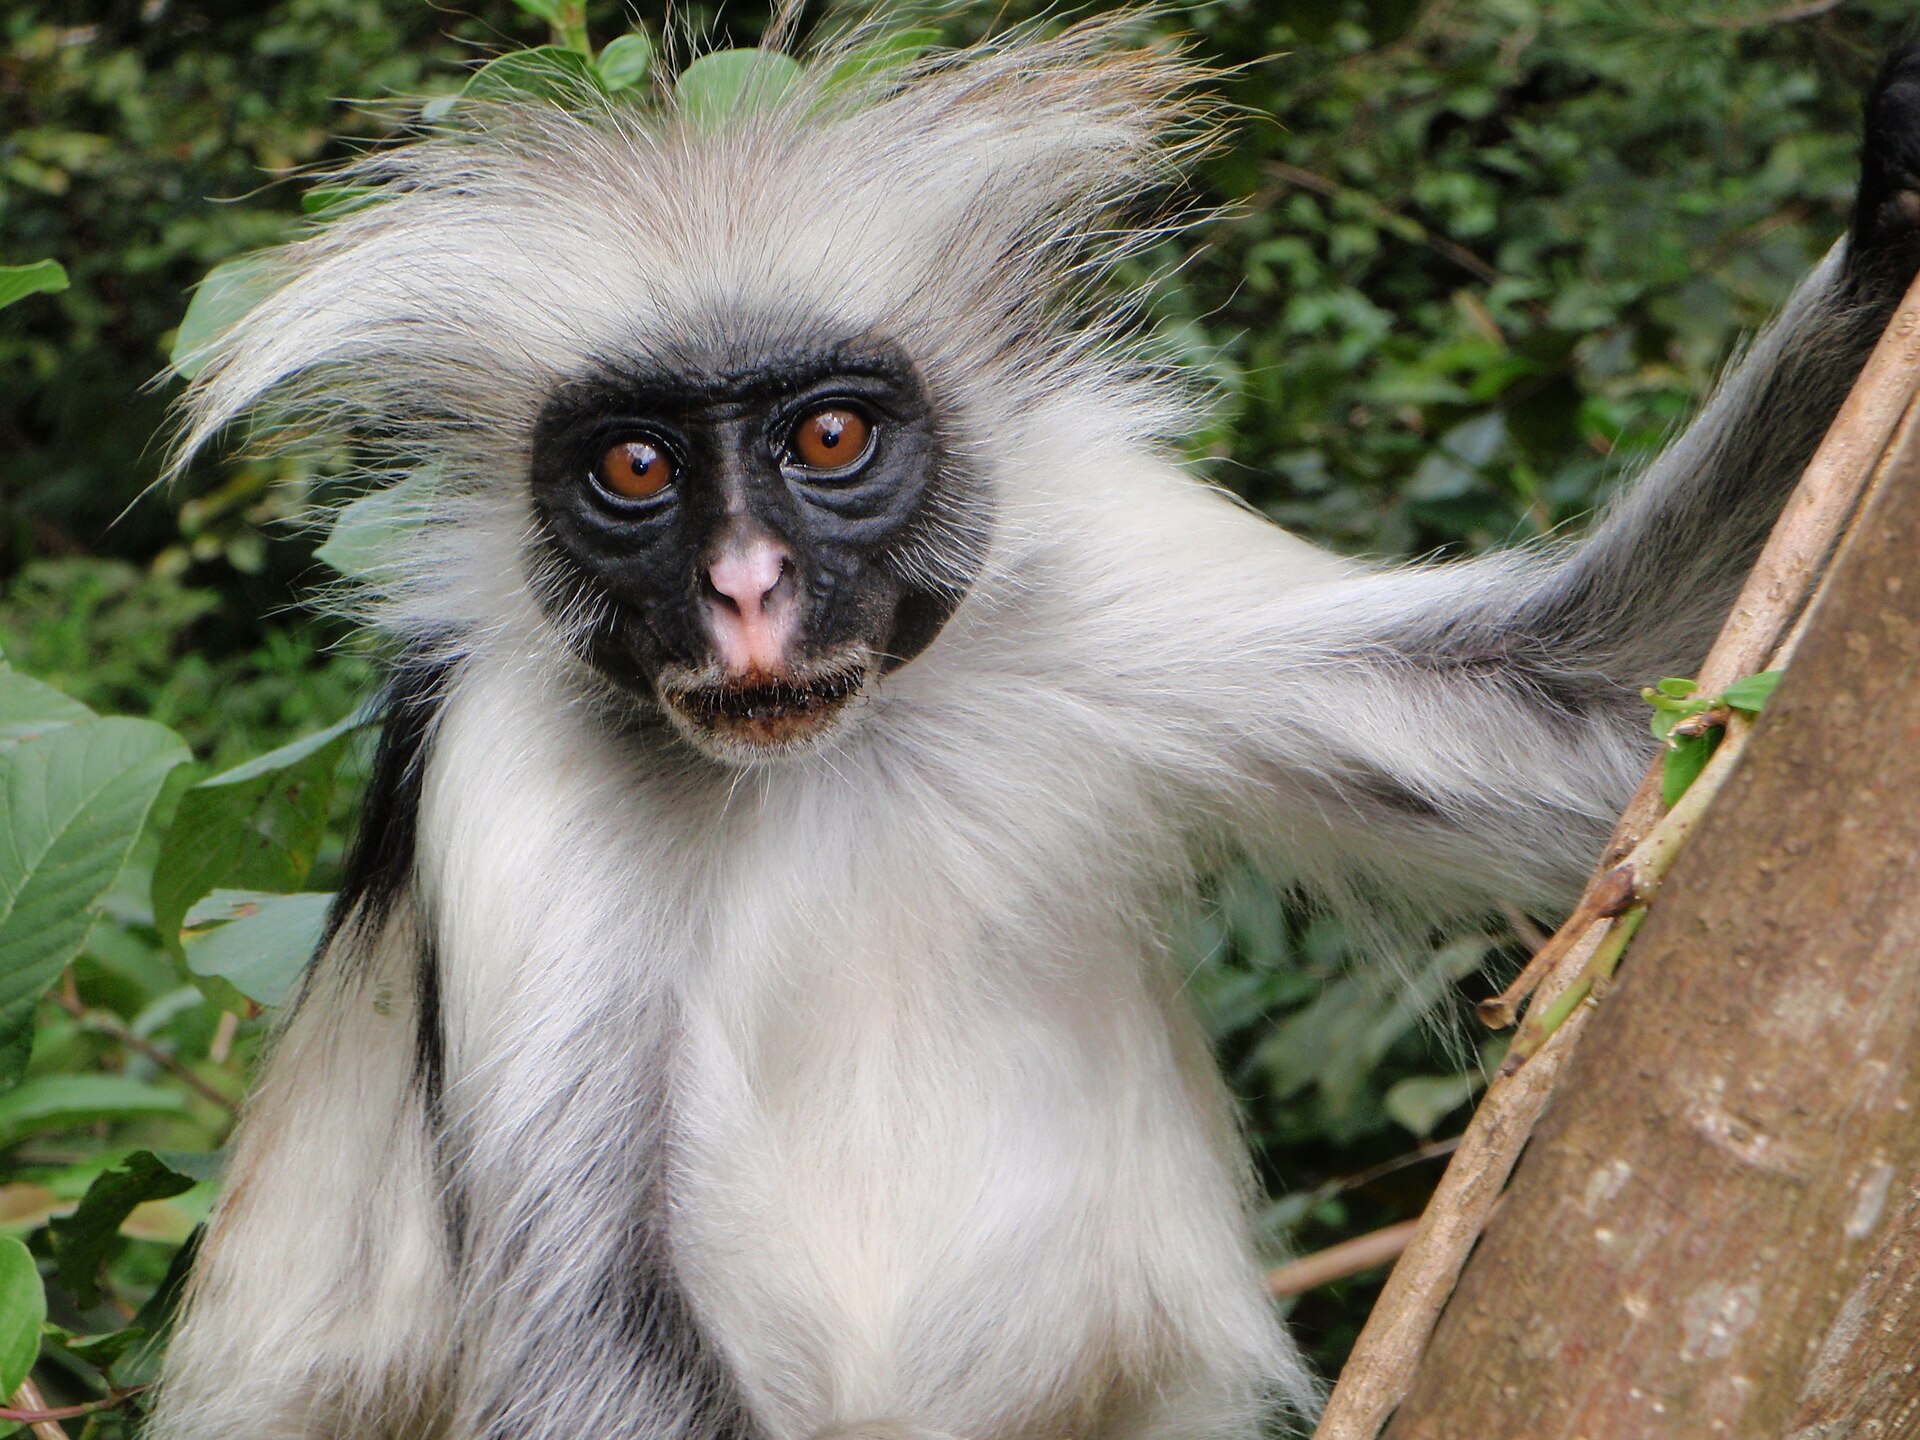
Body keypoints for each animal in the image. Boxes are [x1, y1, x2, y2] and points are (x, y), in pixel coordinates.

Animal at [146, 16, 1920, 1440]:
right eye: (637, 469)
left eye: (831, 438)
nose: (746, 593)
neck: (833, 747)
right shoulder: (513, 754)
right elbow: (594, 1337)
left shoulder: (1090, 564)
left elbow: (1601, 720)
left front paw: (1900, 198)